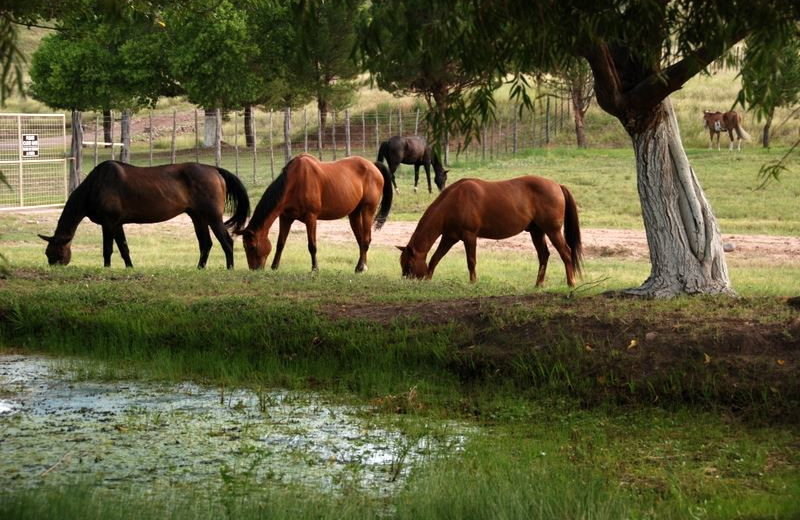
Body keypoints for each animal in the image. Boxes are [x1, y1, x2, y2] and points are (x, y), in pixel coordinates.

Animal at [37, 160, 248, 268]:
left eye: (55, 253)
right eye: (47, 253)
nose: (53, 267)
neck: (96, 185)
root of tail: (214, 170)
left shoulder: (108, 223)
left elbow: (108, 249)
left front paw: (107, 269)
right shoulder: (117, 224)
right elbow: (124, 248)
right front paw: (129, 268)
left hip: (212, 217)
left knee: (226, 242)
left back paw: (229, 268)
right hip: (198, 217)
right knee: (206, 244)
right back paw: (199, 268)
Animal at [239, 153, 396, 272]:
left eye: (252, 247)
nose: (254, 269)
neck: (294, 181)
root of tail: (373, 166)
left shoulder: (311, 217)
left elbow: (312, 245)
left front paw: (315, 268)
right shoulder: (285, 218)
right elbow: (280, 244)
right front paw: (274, 267)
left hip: (367, 210)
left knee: (366, 239)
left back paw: (360, 267)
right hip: (354, 214)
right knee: (361, 240)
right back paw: (363, 265)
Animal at [398, 177, 580, 286]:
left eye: (409, 264)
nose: (407, 282)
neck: (454, 200)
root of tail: (557, 186)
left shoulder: (469, 236)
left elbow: (471, 261)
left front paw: (473, 283)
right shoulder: (449, 237)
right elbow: (435, 258)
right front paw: (428, 279)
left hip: (552, 231)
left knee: (566, 253)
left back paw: (571, 283)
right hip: (537, 232)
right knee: (544, 256)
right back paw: (538, 285)